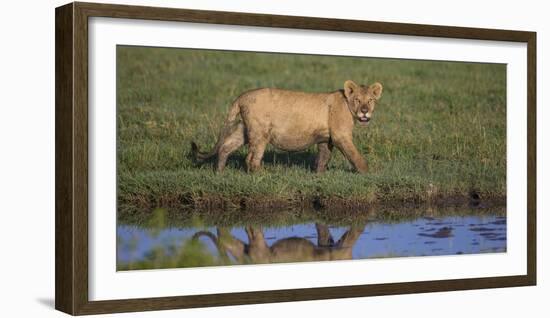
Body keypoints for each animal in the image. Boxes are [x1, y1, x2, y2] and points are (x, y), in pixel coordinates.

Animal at [193, 80, 384, 173]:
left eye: (370, 100)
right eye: (357, 100)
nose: (365, 111)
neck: (348, 106)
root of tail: (242, 96)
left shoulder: (326, 139)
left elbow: (323, 158)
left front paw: (319, 176)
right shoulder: (340, 136)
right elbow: (356, 156)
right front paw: (368, 174)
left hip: (245, 130)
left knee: (225, 146)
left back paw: (219, 172)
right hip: (261, 133)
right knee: (251, 159)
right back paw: (263, 176)